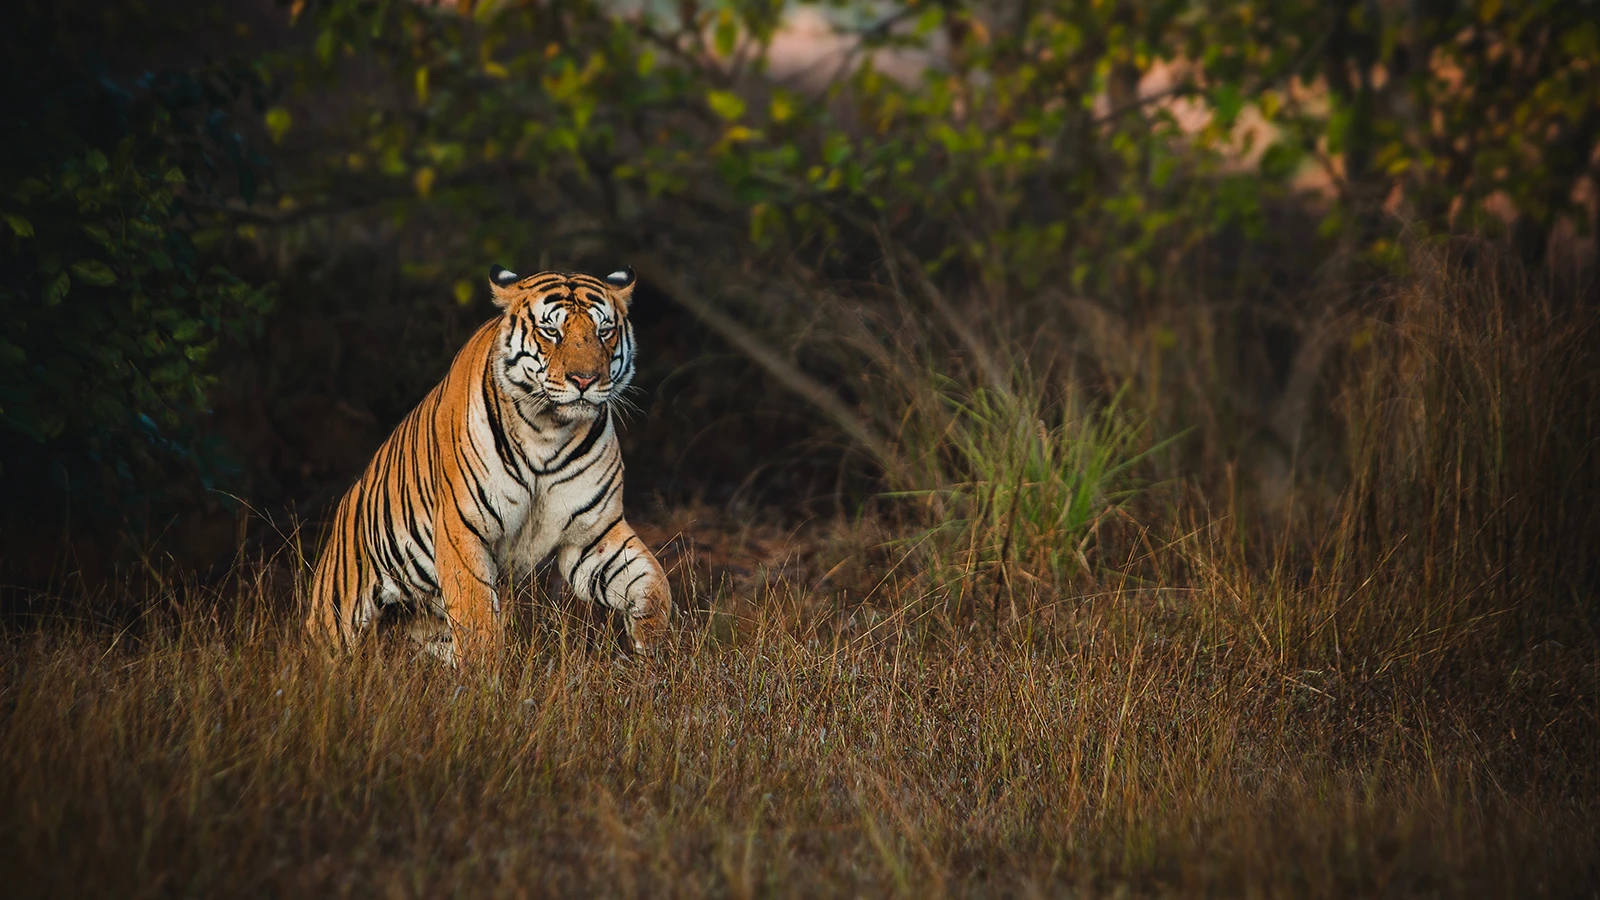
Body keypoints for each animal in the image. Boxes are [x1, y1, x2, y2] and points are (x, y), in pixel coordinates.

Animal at [304, 264, 670, 665]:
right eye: (551, 332)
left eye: (604, 332)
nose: (585, 380)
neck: (549, 431)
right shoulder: (462, 528)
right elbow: (476, 615)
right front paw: (484, 676)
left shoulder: (591, 537)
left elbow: (653, 582)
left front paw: (653, 646)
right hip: (337, 617)